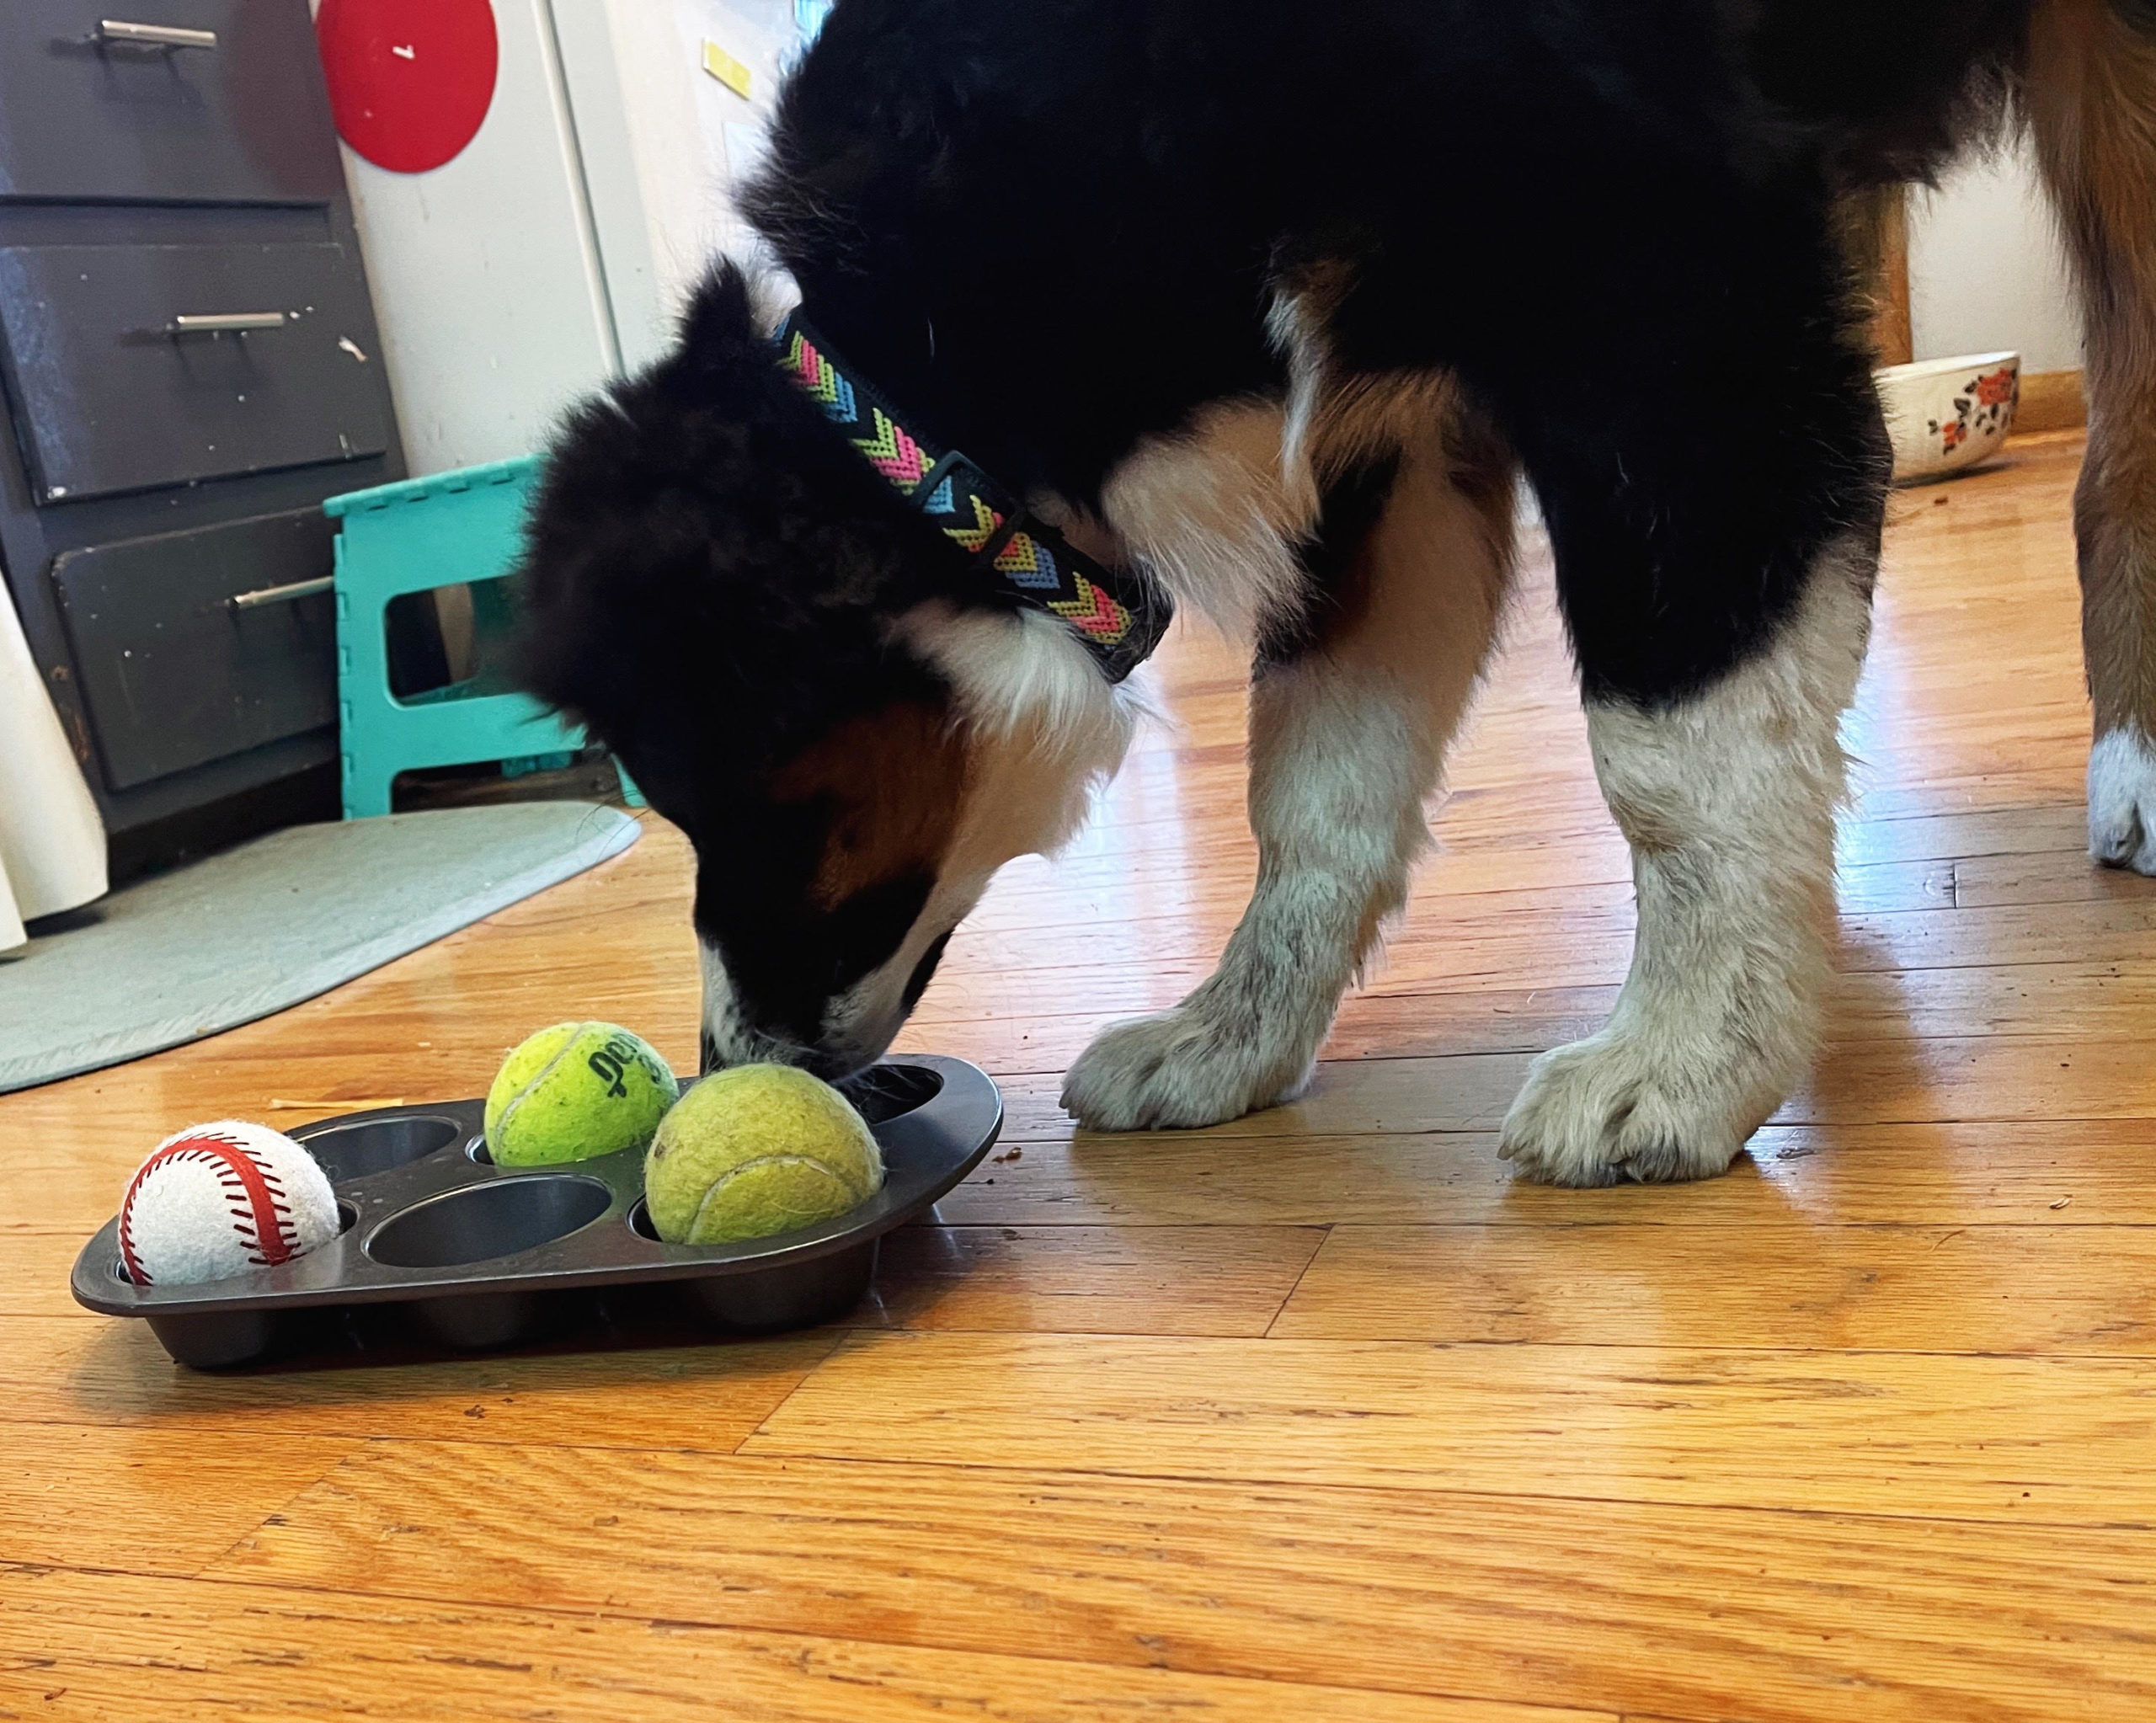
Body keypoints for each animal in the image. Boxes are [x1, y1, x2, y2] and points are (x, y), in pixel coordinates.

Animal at [517, 0, 2156, 1190]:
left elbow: (1667, 753)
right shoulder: (1383, 455)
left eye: (756, 807)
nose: (728, 1065)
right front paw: (1229, 1039)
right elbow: (1315, 790)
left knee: (2119, 449)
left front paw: (1692, 1054)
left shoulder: (1673, 297)